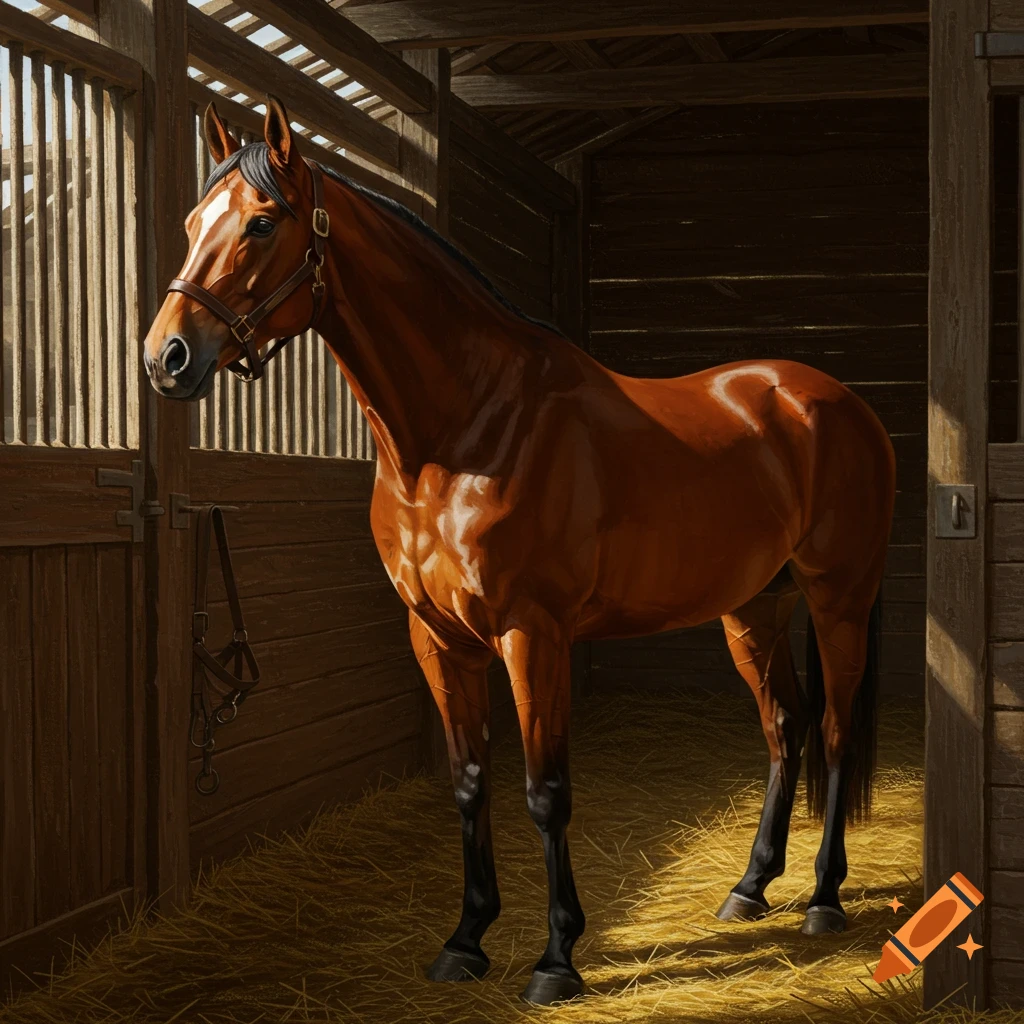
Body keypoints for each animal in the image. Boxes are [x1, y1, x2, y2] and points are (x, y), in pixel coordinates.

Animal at [143, 95, 896, 1006]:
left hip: (838, 599)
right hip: (753, 608)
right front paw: (465, 941)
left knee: (834, 731)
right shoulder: (436, 638)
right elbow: (471, 783)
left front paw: (557, 958)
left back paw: (823, 899)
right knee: (785, 727)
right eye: (191, 223)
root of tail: (835, 401)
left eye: (260, 223)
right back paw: (750, 888)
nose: (166, 358)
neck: (467, 426)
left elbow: (545, 791)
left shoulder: (531, 634)